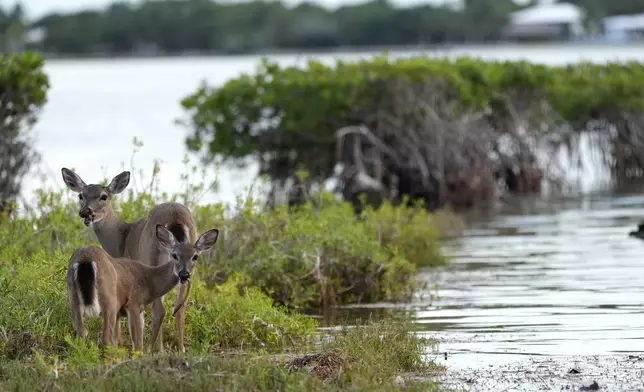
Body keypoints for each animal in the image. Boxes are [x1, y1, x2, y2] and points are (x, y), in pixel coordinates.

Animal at [62, 168, 201, 352]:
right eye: (81, 195)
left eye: (104, 196)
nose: (86, 212)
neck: (123, 238)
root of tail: (176, 217)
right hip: (189, 266)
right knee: (180, 306)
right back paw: (180, 348)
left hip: (152, 256)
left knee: (160, 310)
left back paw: (156, 349)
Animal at [66, 225, 220, 350]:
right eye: (175, 255)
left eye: (195, 256)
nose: (184, 274)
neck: (150, 281)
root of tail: (85, 260)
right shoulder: (133, 304)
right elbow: (138, 344)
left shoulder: (124, 312)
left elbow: (121, 341)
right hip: (109, 301)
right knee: (105, 339)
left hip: (73, 299)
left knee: (82, 333)